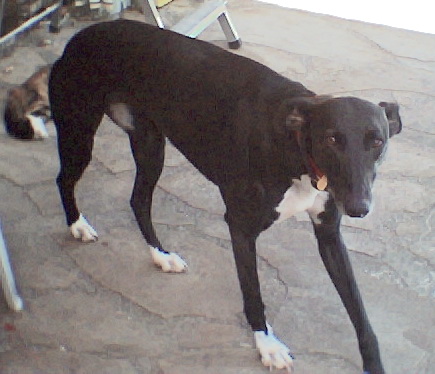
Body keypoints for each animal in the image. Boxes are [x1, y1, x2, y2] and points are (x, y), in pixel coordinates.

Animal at [48, 20, 402, 374]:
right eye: (331, 139)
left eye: (377, 141)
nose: (359, 208)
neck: (294, 147)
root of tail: (78, 38)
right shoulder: (241, 228)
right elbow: (253, 295)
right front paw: (267, 345)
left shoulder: (328, 232)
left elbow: (359, 313)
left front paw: (374, 362)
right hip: (79, 135)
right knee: (64, 179)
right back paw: (78, 225)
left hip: (150, 145)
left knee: (138, 200)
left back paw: (161, 255)